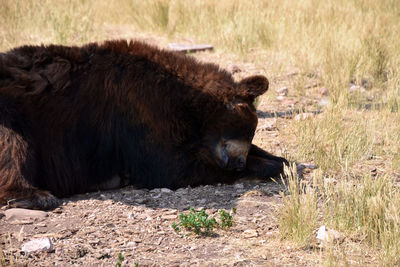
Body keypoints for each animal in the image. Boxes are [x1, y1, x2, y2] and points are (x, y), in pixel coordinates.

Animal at [0, 40, 288, 211]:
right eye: (247, 129)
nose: (238, 163)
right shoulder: (139, 109)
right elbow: (170, 166)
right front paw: (269, 165)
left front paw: (281, 158)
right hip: (14, 113)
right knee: (12, 147)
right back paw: (35, 195)